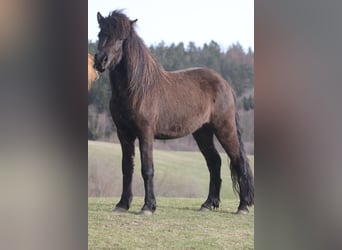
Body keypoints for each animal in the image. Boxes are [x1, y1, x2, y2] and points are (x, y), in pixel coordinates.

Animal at [94, 10, 254, 215]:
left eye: (121, 38)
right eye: (100, 34)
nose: (100, 60)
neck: (137, 89)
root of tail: (224, 84)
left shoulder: (145, 133)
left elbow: (147, 168)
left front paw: (148, 206)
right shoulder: (124, 134)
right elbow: (127, 168)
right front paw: (122, 204)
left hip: (224, 129)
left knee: (238, 161)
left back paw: (242, 207)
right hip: (202, 132)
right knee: (214, 162)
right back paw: (208, 204)